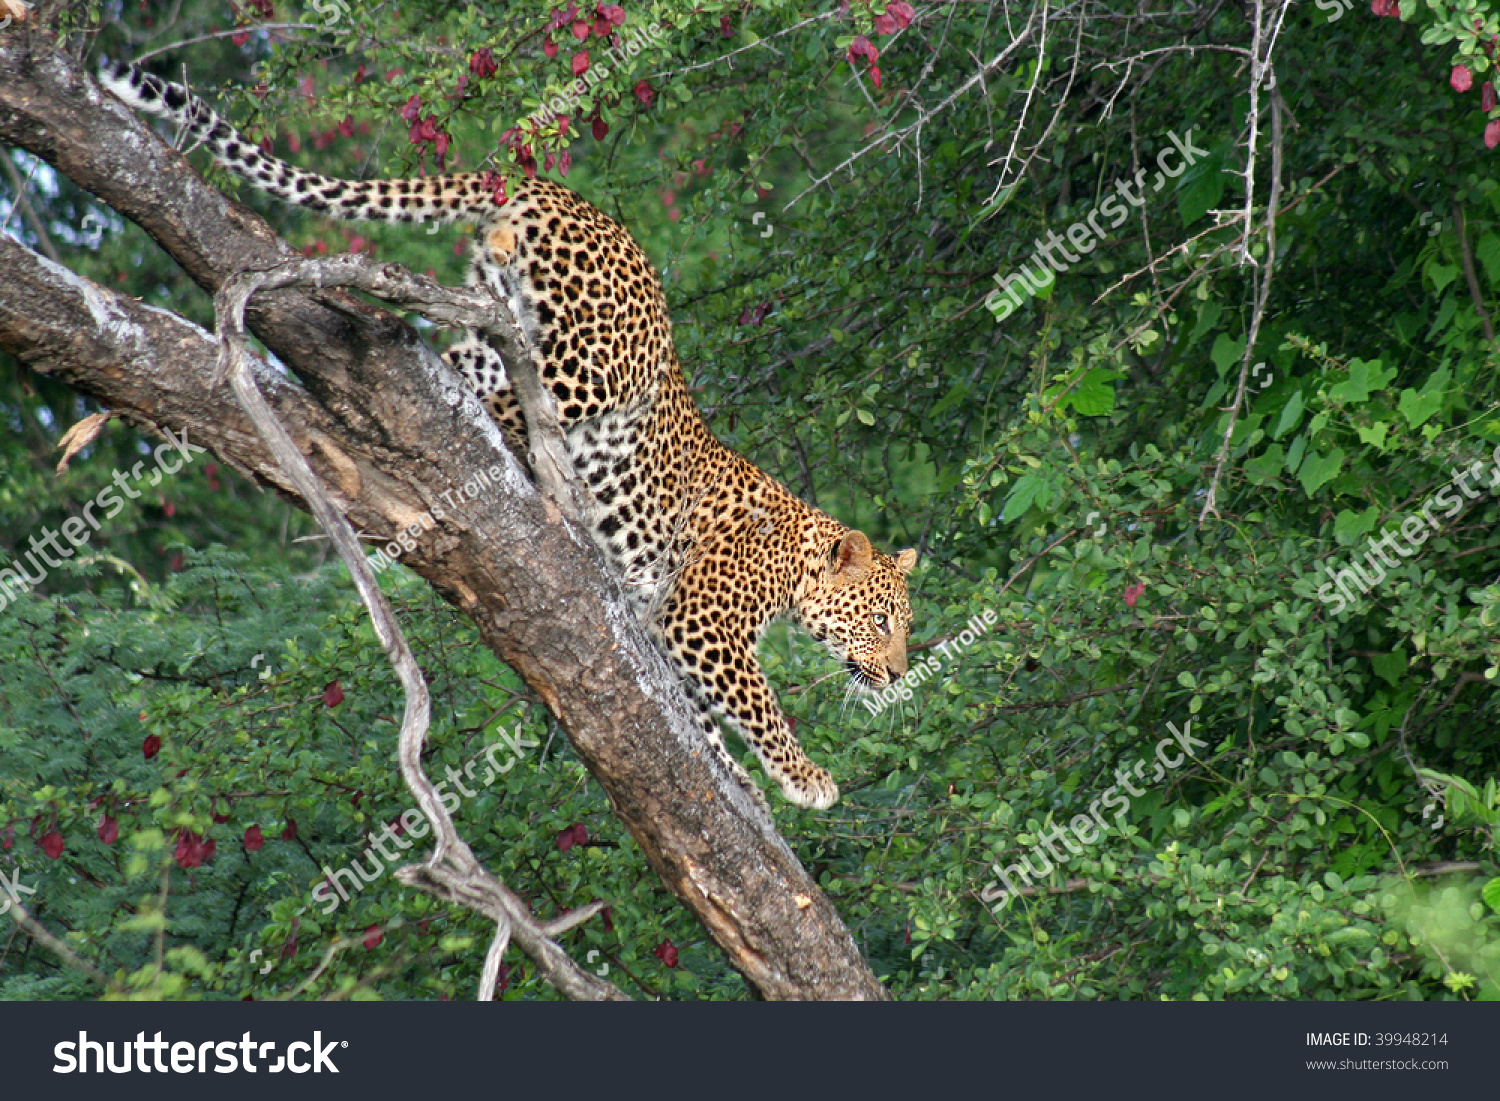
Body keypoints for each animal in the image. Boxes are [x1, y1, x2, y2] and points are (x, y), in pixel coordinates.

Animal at [102, 62, 912, 822]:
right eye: (880, 621)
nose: (902, 673)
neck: (796, 559)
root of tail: (553, 189)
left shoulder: (664, 623)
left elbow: (699, 719)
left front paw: (737, 776)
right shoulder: (703, 618)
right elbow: (757, 703)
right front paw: (805, 776)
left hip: (502, 321)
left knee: (445, 367)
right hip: (591, 364)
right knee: (493, 399)